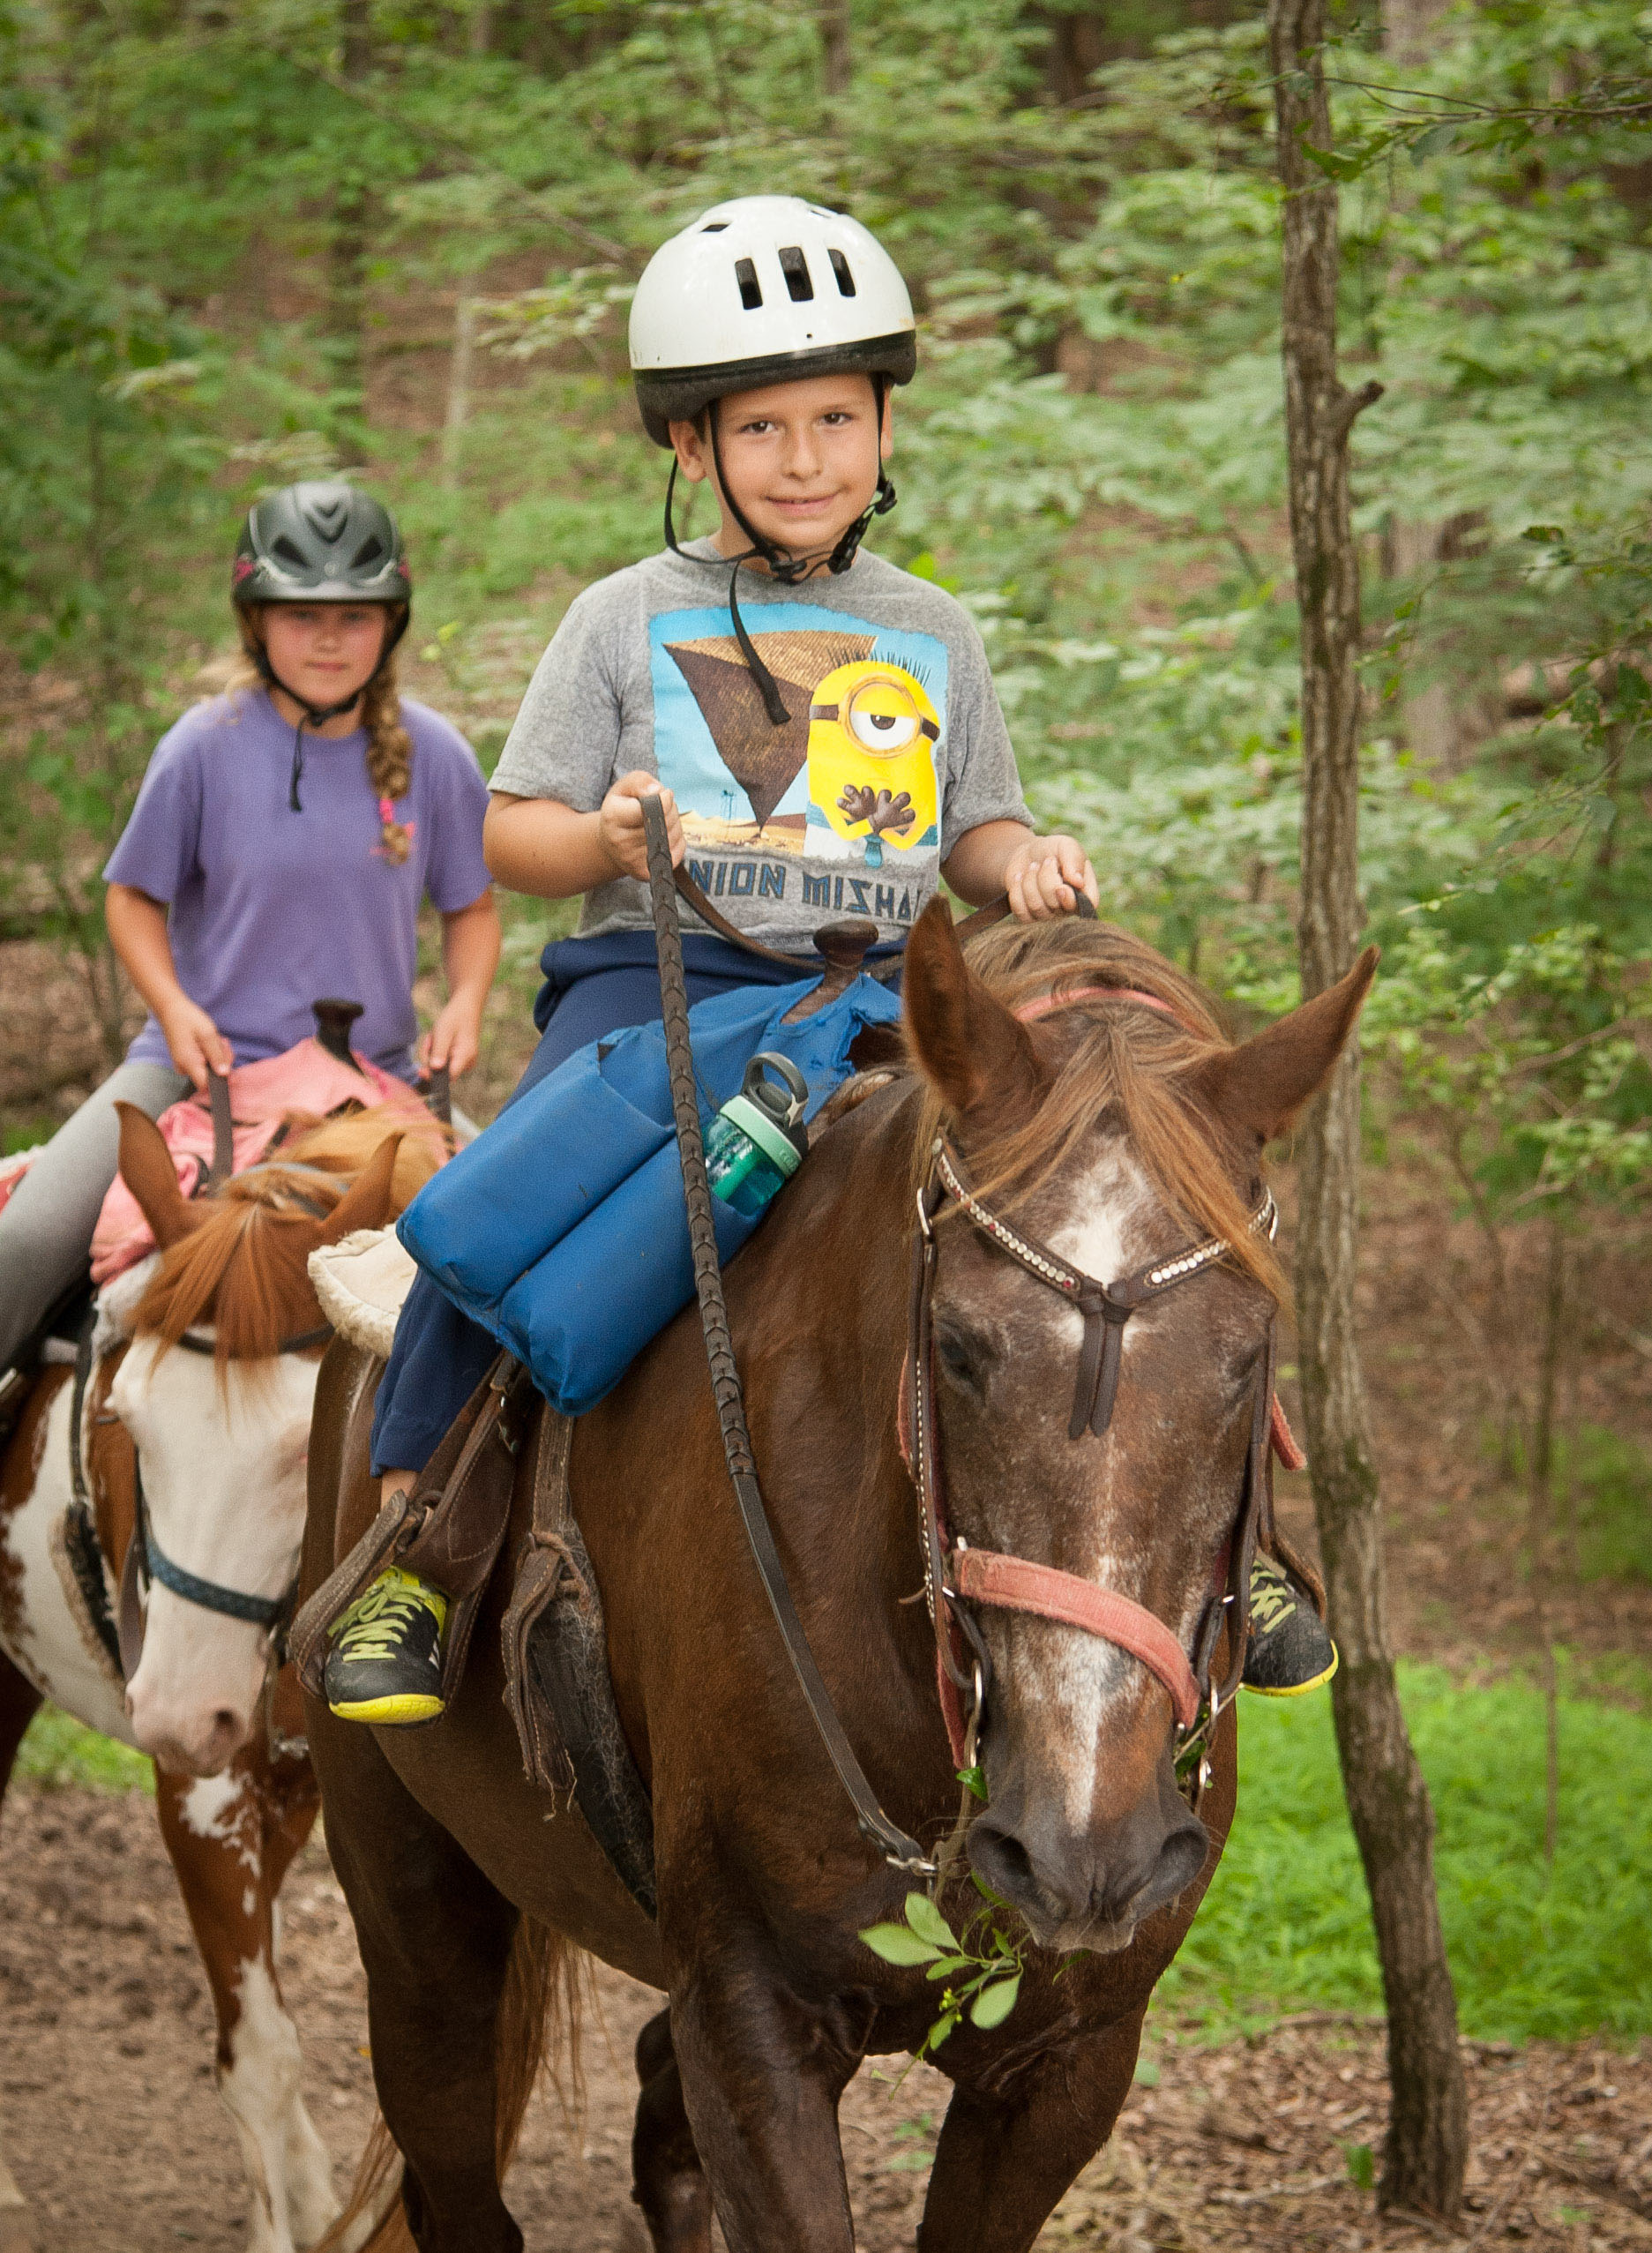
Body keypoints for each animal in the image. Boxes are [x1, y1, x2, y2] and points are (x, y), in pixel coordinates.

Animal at [302, 901, 1370, 2253]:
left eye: (1245, 1356)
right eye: (957, 1346)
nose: (1086, 1849)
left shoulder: (1069, 2061)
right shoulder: (752, 2026)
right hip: (417, 1930)